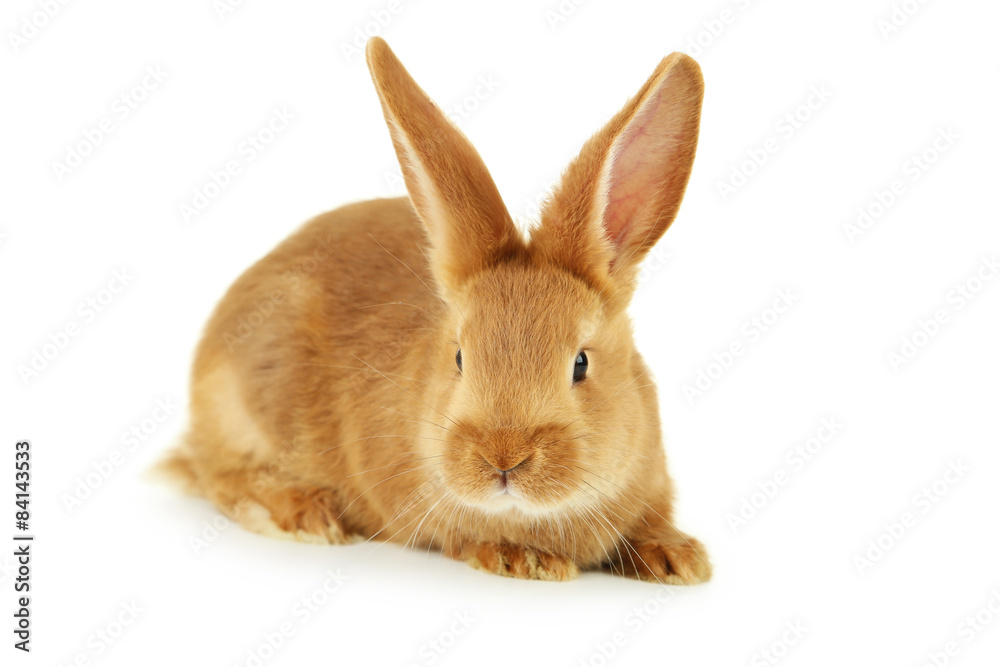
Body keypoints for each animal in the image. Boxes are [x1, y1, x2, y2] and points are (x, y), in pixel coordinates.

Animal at [160, 36, 710, 584]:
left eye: (581, 363)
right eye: (460, 358)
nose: (503, 459)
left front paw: (680, 558)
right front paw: (526, 559)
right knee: (219, 477)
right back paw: (307, 515)